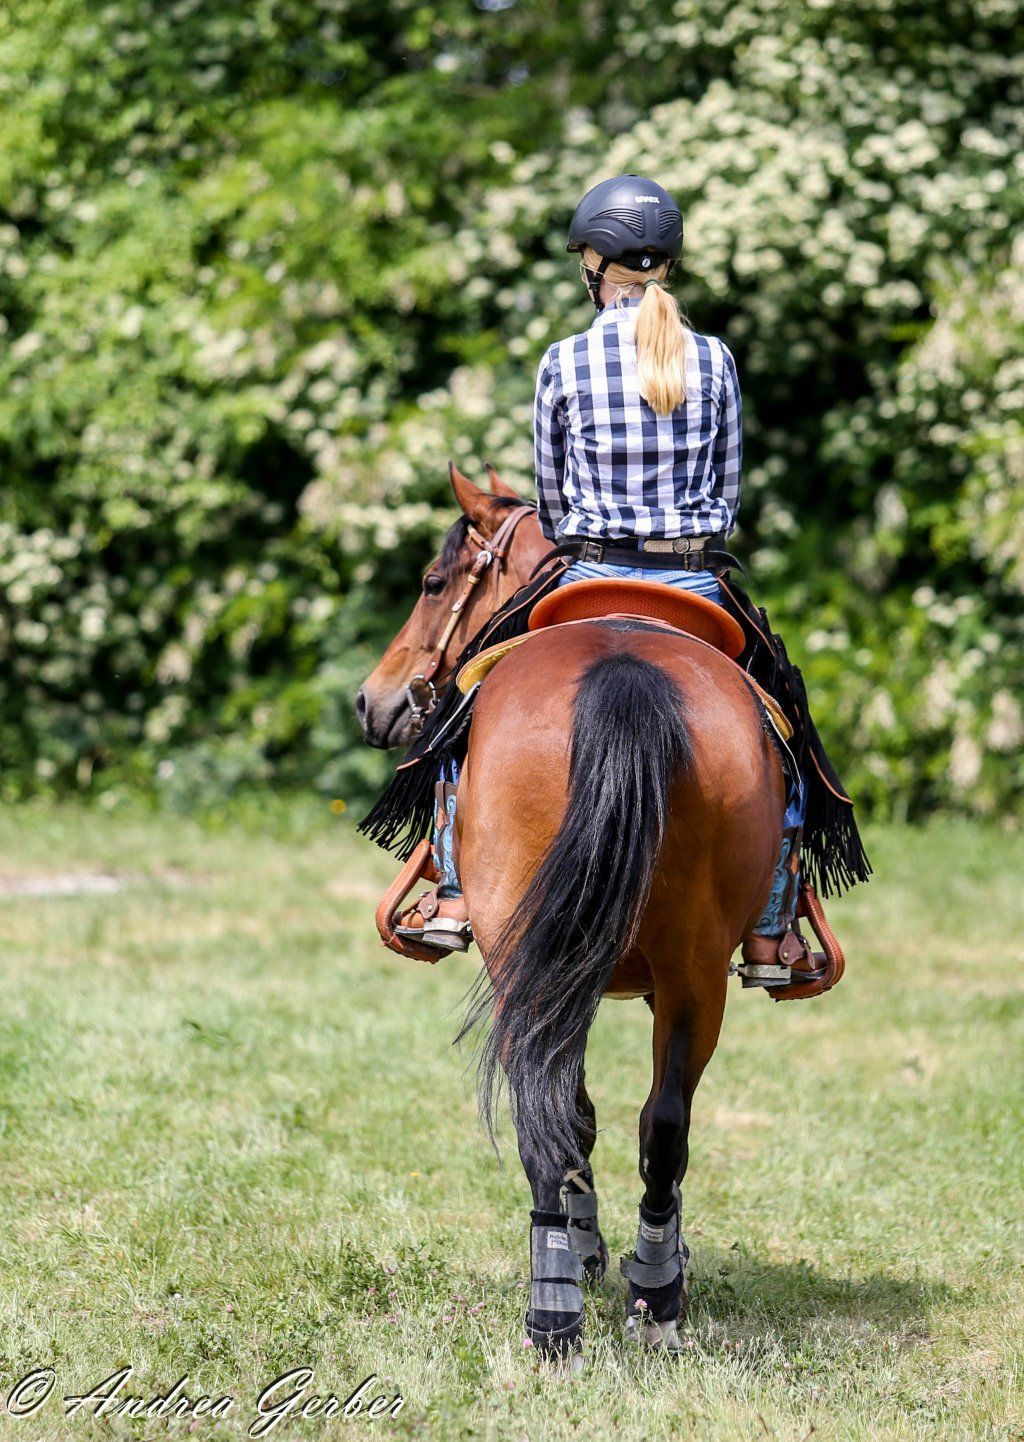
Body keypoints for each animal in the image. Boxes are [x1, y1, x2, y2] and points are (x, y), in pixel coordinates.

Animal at [356, 463, 785, 1358]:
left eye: (433, 582)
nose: (370, 701)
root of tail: (621, 668)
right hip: (684, 973)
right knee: (651, 1124)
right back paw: (646, 1296)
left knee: (569, 1116)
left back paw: (568, 1304)